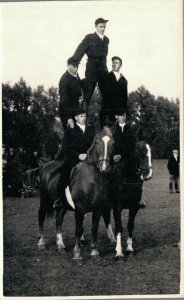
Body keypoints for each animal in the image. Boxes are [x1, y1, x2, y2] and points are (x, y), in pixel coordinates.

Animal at [36, 125, 115, 258]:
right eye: (97, 142)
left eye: (112, 143)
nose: (105, 167)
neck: (91, 179)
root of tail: (45, 166)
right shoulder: (79, 209)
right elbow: (78, 229)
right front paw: (77, 253)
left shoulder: (98, 209)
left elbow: (94, 228)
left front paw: (94, 251)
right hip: (44, 200)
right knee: (41, 216)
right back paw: (41, 243)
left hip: (62, 206)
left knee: (58, 220)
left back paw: (61, 245)